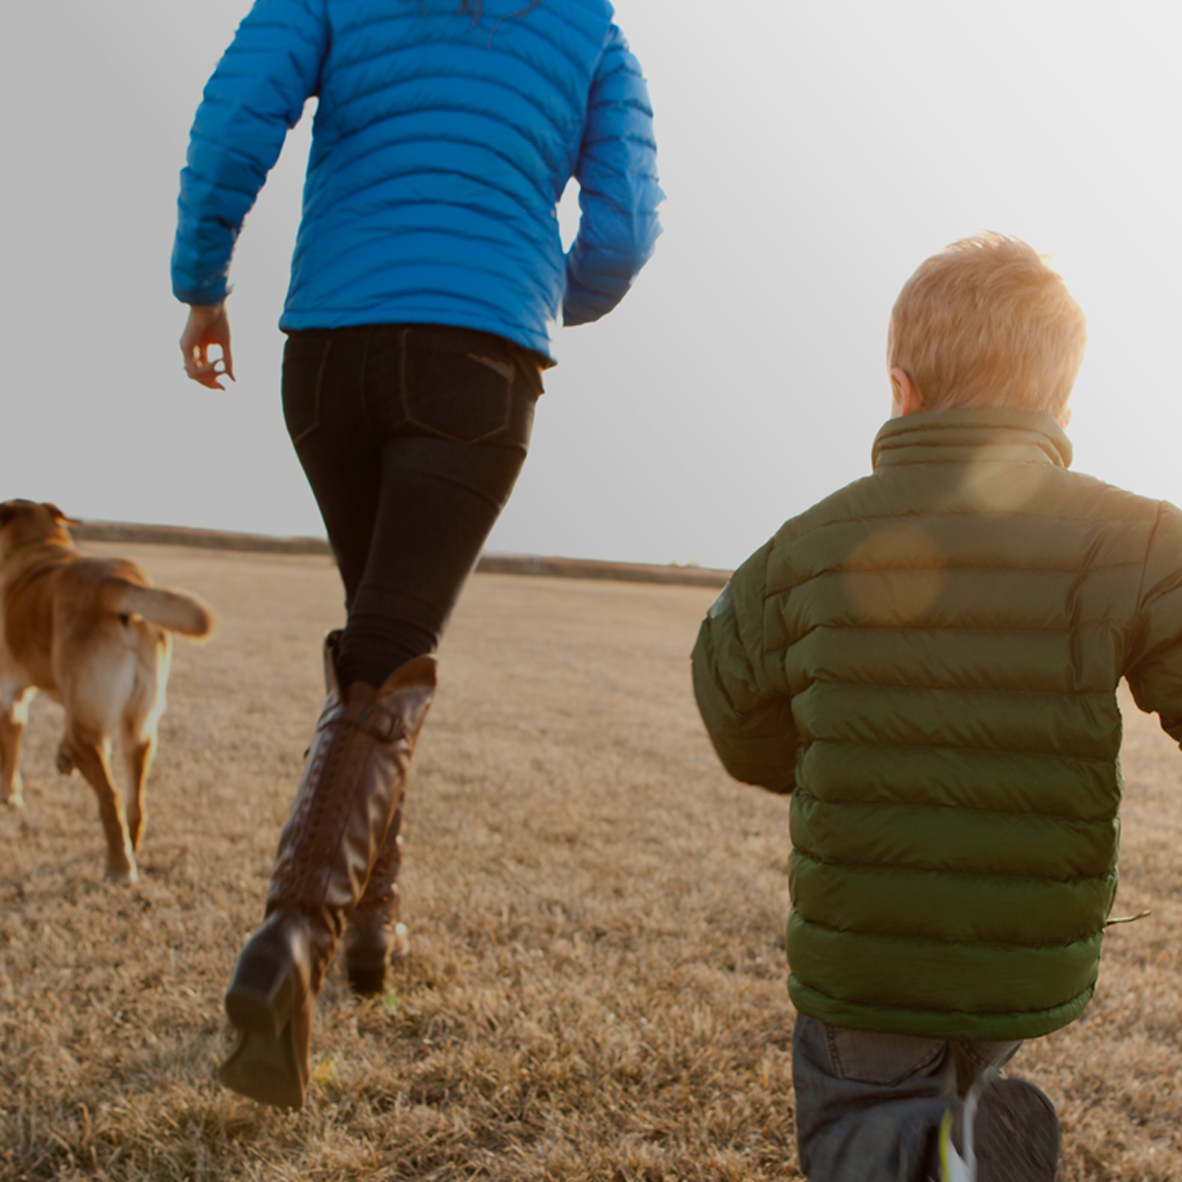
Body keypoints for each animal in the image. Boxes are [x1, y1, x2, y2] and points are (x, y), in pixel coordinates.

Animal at [0, 503, 215, 884]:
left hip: (91, 729)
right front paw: (61, 757)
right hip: (139, 726)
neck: (39, 547)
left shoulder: (12, 697)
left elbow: (9, 753)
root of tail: (114, 583)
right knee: (135, 800)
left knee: (109, 798)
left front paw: (10, 796)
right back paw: (132, 846)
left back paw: (119, 868)